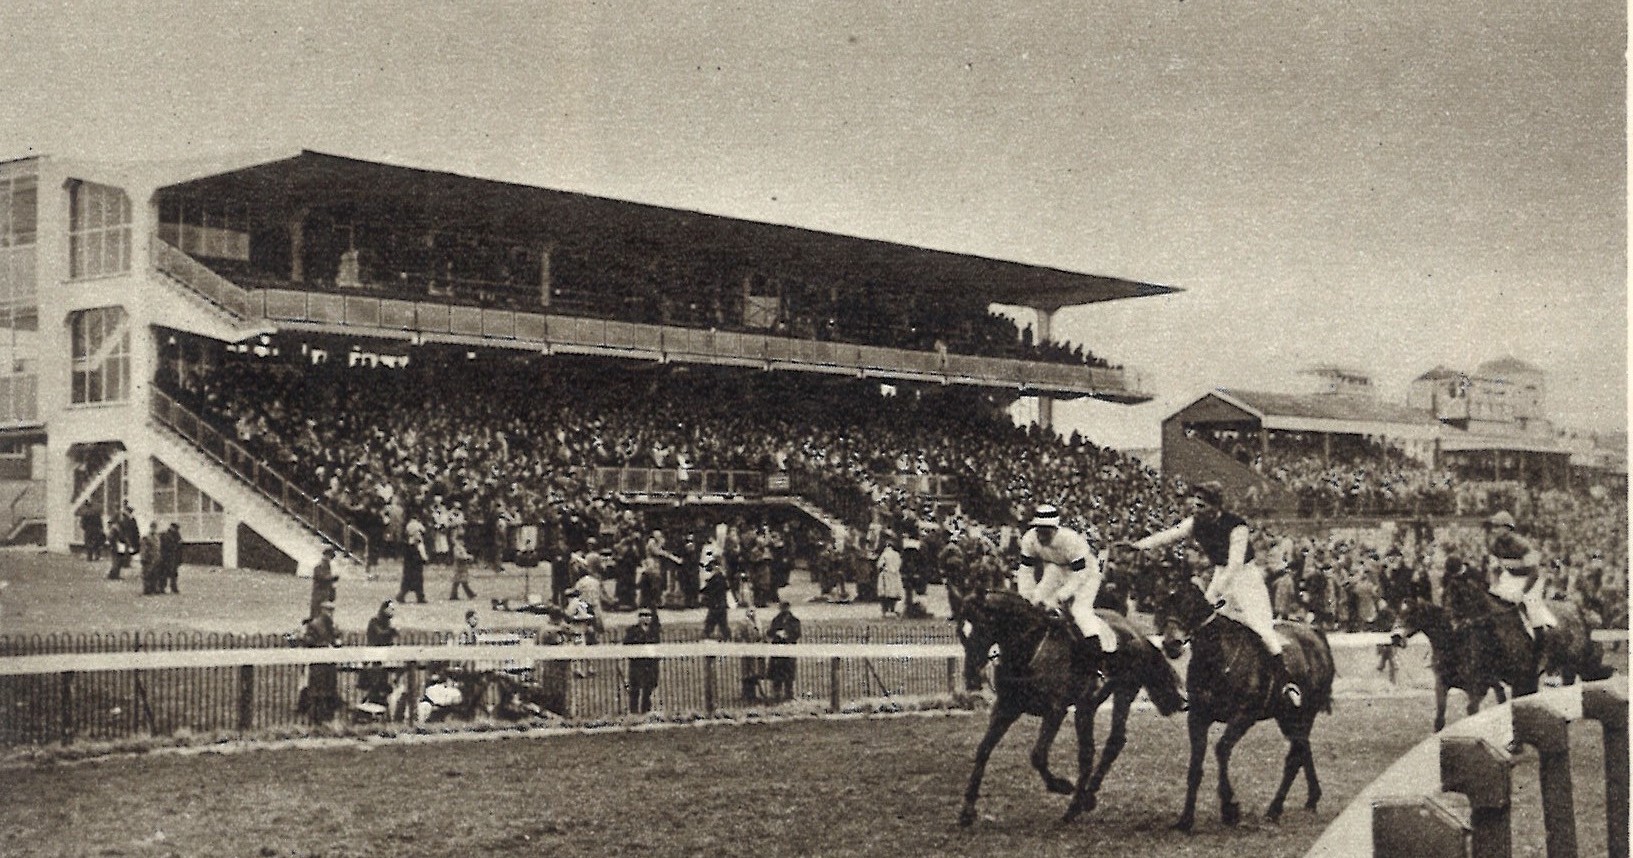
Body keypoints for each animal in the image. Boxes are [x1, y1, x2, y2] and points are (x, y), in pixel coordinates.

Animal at [953, 588, 1188, 823]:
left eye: (984, 623)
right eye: (962, 629)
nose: (970, 670)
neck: (1032, 648)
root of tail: (1135, 632)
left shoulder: (1054, 711)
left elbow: (1038, 756)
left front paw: (1062, 785)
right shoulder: (1006, 708)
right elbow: (983, 749)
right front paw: (968, 809)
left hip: (1124, 691)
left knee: (1113, 741)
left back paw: (1078, 802)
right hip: (1087, 705)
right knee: (1088, 751)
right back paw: (1084, 799)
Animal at [1156, 575, 1332, 830]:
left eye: (1189, 604)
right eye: (1163, 605)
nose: (1172, 644)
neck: (1218, 658)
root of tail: (1314, 632)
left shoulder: (1243, 717)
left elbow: (1221, 750)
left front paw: (1230, 808)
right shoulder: (1197, 717)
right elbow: (1195, 767)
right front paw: (1186, 819)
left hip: (1305, 713)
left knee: (1294, 757)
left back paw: (1274, 810)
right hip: (1288, 716)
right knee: (1302, 748)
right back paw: (1311, 799)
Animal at [1384, 594, 1508, 728]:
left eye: (1412, 613)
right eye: (1397, 614)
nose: (1395, 638)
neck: (1453, 645)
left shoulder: (1476, 689)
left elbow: (1472, 711)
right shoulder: (1441, 685)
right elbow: (1439, 720)